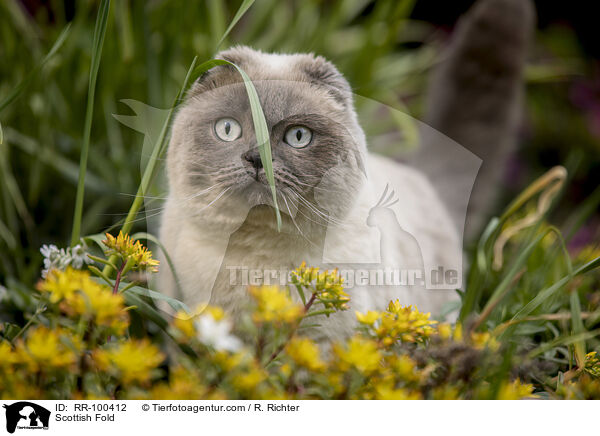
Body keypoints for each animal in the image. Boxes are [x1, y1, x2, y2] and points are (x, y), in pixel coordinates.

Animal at [158, 0, 536, 340]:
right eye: (228, 129)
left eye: (298, 136)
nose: (255, 158)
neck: (254, 262)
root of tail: (424, 182)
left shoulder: (323, 346)